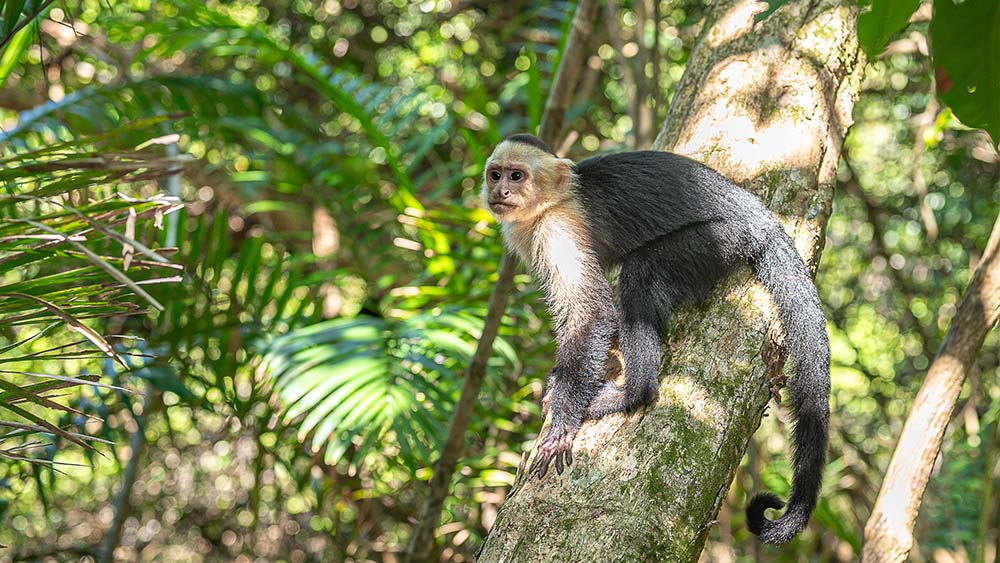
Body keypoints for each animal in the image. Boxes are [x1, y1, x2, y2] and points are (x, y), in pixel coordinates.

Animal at [480, 134, 832, 544]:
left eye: (517, 176)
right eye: (496, 174)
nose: (501, 191)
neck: (551, 202)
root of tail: (763, 218)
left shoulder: (558, 229)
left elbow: (593, 314)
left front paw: (563, 422)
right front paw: (557, 379)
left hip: (720, 238)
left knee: (641, 273)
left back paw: (633, 394)